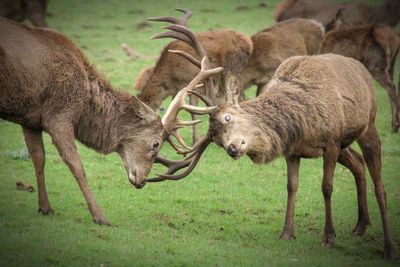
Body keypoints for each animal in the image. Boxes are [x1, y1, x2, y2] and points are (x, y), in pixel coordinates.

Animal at [0, 16, 222, 226]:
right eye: (156, 143)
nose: (142, 181)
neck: (84, 104)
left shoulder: (30, 119)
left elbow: (38, 158)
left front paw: (45, 207)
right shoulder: (58, 115)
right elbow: (76, 165)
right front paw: (100, 216)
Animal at [145, 15, 396, 262]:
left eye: (227, 117)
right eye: (216, 140)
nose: (232, 148)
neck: (300, 123)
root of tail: (360, 68)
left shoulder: (332, 142)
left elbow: (327, 186)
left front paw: (329, 237)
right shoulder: (294, 150)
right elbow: (291, 186)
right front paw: (287, 232)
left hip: (367, 126)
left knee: (379, 184)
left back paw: (388, 248)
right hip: (346, 144)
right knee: (358, 163)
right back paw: (361, 225)